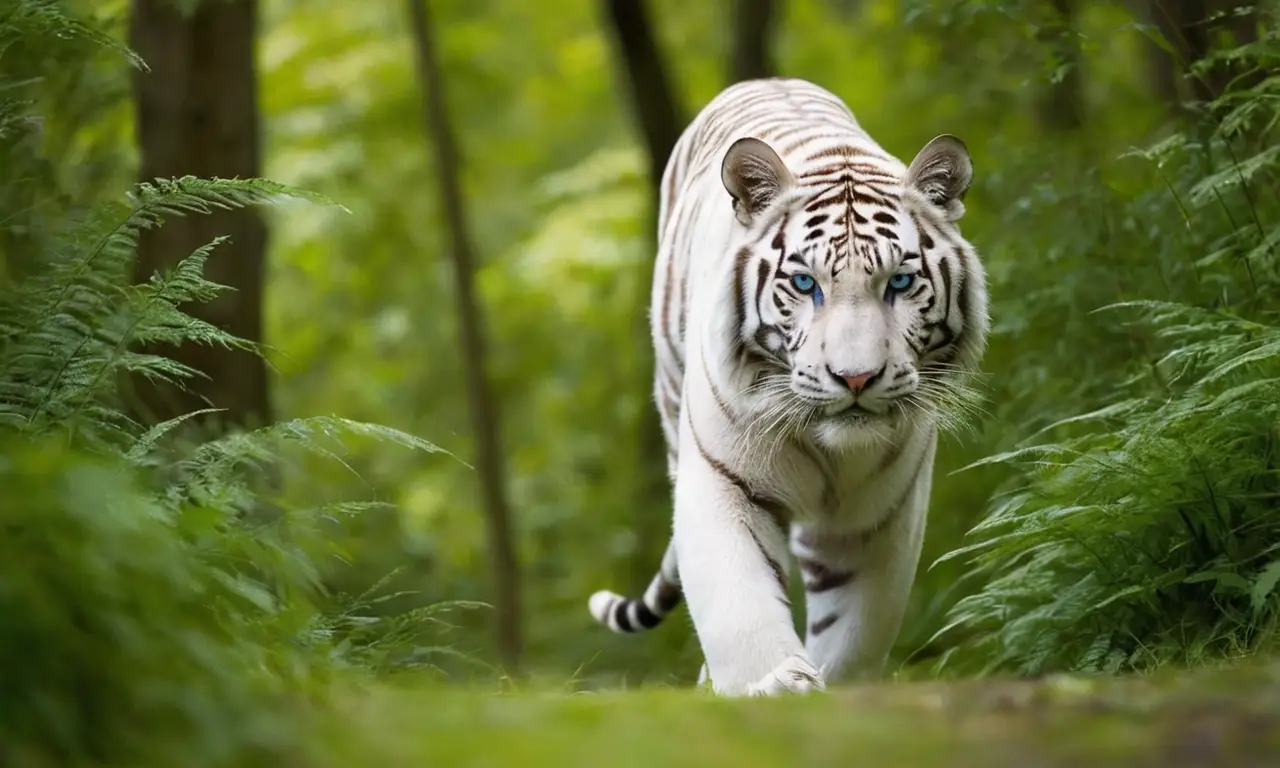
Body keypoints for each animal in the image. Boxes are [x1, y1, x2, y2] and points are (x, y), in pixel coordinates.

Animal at [587, 77, 989, 696]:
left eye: (900, 282)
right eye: (804, 283)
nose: (856, 376)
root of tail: (767, 80)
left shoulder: (879, 512)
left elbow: (855, 624)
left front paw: (833, 683)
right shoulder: (725, 478)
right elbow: (739, 600)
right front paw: (773, 682)